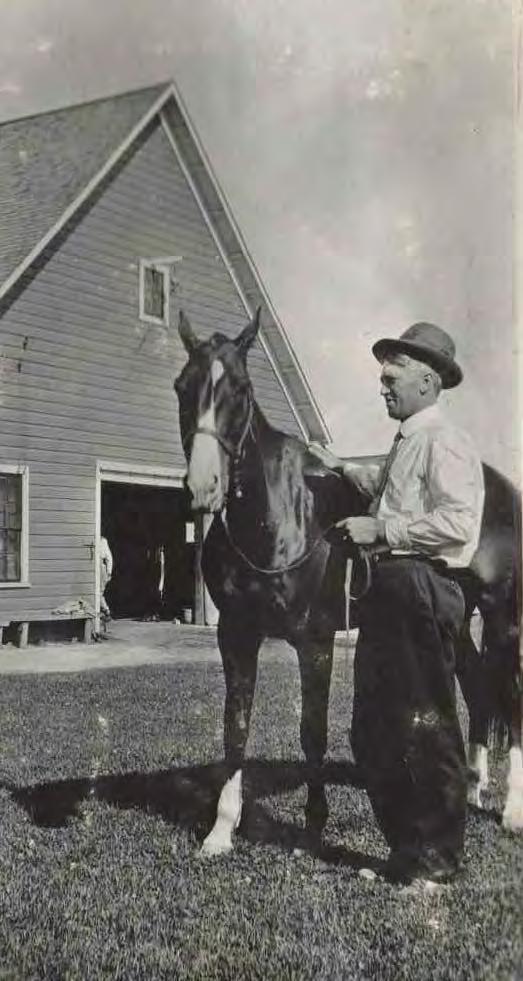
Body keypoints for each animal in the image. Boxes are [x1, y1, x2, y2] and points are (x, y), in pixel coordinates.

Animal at [174, 308, 522, 856]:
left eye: (242, 389)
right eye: (182, 386)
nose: (203, 487)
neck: (282, 515)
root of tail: (501, 485)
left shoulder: (314, 640)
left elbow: (312, 732)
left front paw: (313, 826)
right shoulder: (236, 635)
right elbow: (236, 727)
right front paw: (220, 830)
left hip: (503, 615)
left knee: (510, 696)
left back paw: (511, 810)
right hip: (461, 615)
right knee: (478, 689)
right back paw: (471, 786)